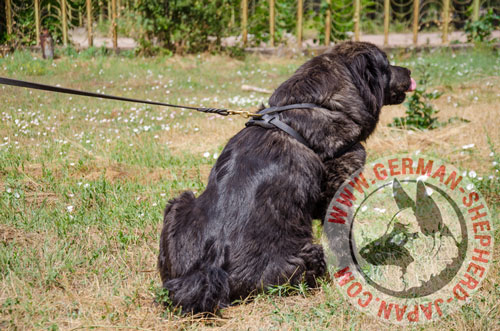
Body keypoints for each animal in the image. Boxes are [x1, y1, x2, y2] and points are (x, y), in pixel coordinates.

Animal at [158, 41, 416, 314]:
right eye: (386, 65)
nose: (409, 72)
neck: (318, 103)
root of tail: (209, 268)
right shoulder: (338, 192)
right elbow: (344, 239)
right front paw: (358, 271)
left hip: (178, 203)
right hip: (308, 254)